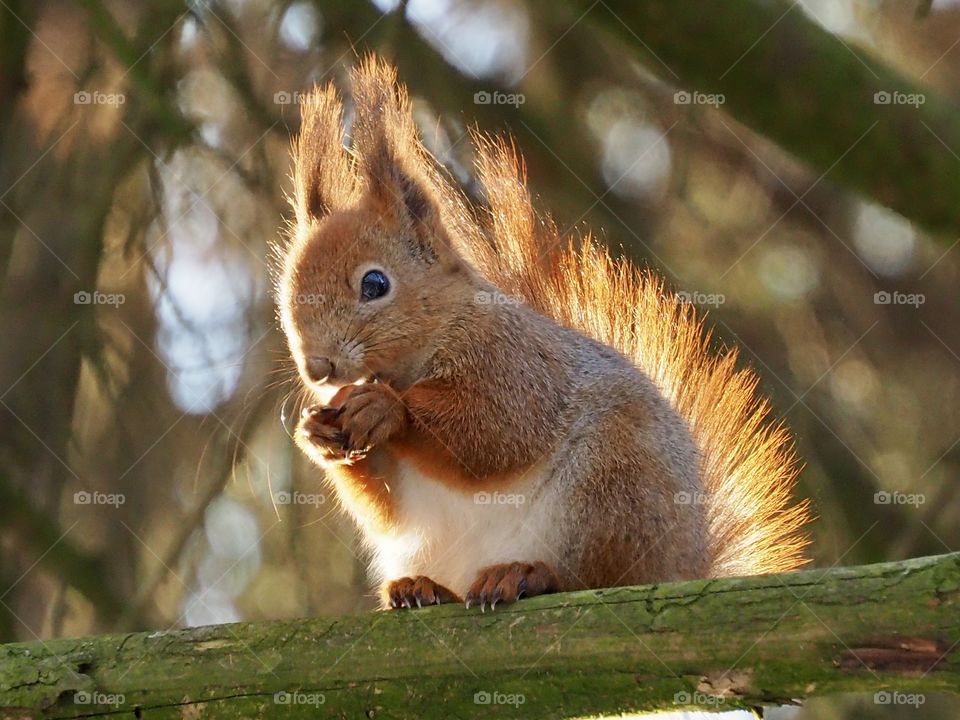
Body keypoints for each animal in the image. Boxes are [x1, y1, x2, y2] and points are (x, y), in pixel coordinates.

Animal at [276, 55, 810, 611]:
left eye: (375, 284)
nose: (318, 367)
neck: (432, 342)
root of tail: (686, 565)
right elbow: (387, 503)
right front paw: (315, 432)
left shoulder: (519, 366)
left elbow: (495, 432)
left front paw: (386, 409)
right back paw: (421, 587)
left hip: (613, 488)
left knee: (591, 575)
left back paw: (525, 573)